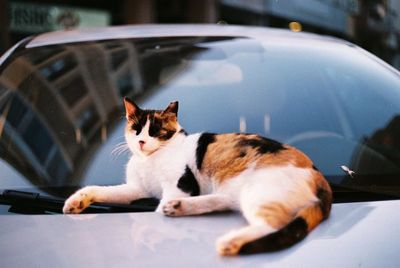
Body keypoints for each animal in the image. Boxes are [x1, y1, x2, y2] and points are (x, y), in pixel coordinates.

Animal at [63, 98, 332, 255]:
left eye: (156, 131)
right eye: (136, 129)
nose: (141, 141)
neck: (150, 160)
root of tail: (320, 178)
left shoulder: (182, 183)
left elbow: (156, 209)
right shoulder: (136, 190)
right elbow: (100, 190)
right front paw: (76, 201)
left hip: (260, 190)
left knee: (271, 224)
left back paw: (229, 242)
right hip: (238, 191)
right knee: (222, 201)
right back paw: (178, 207)